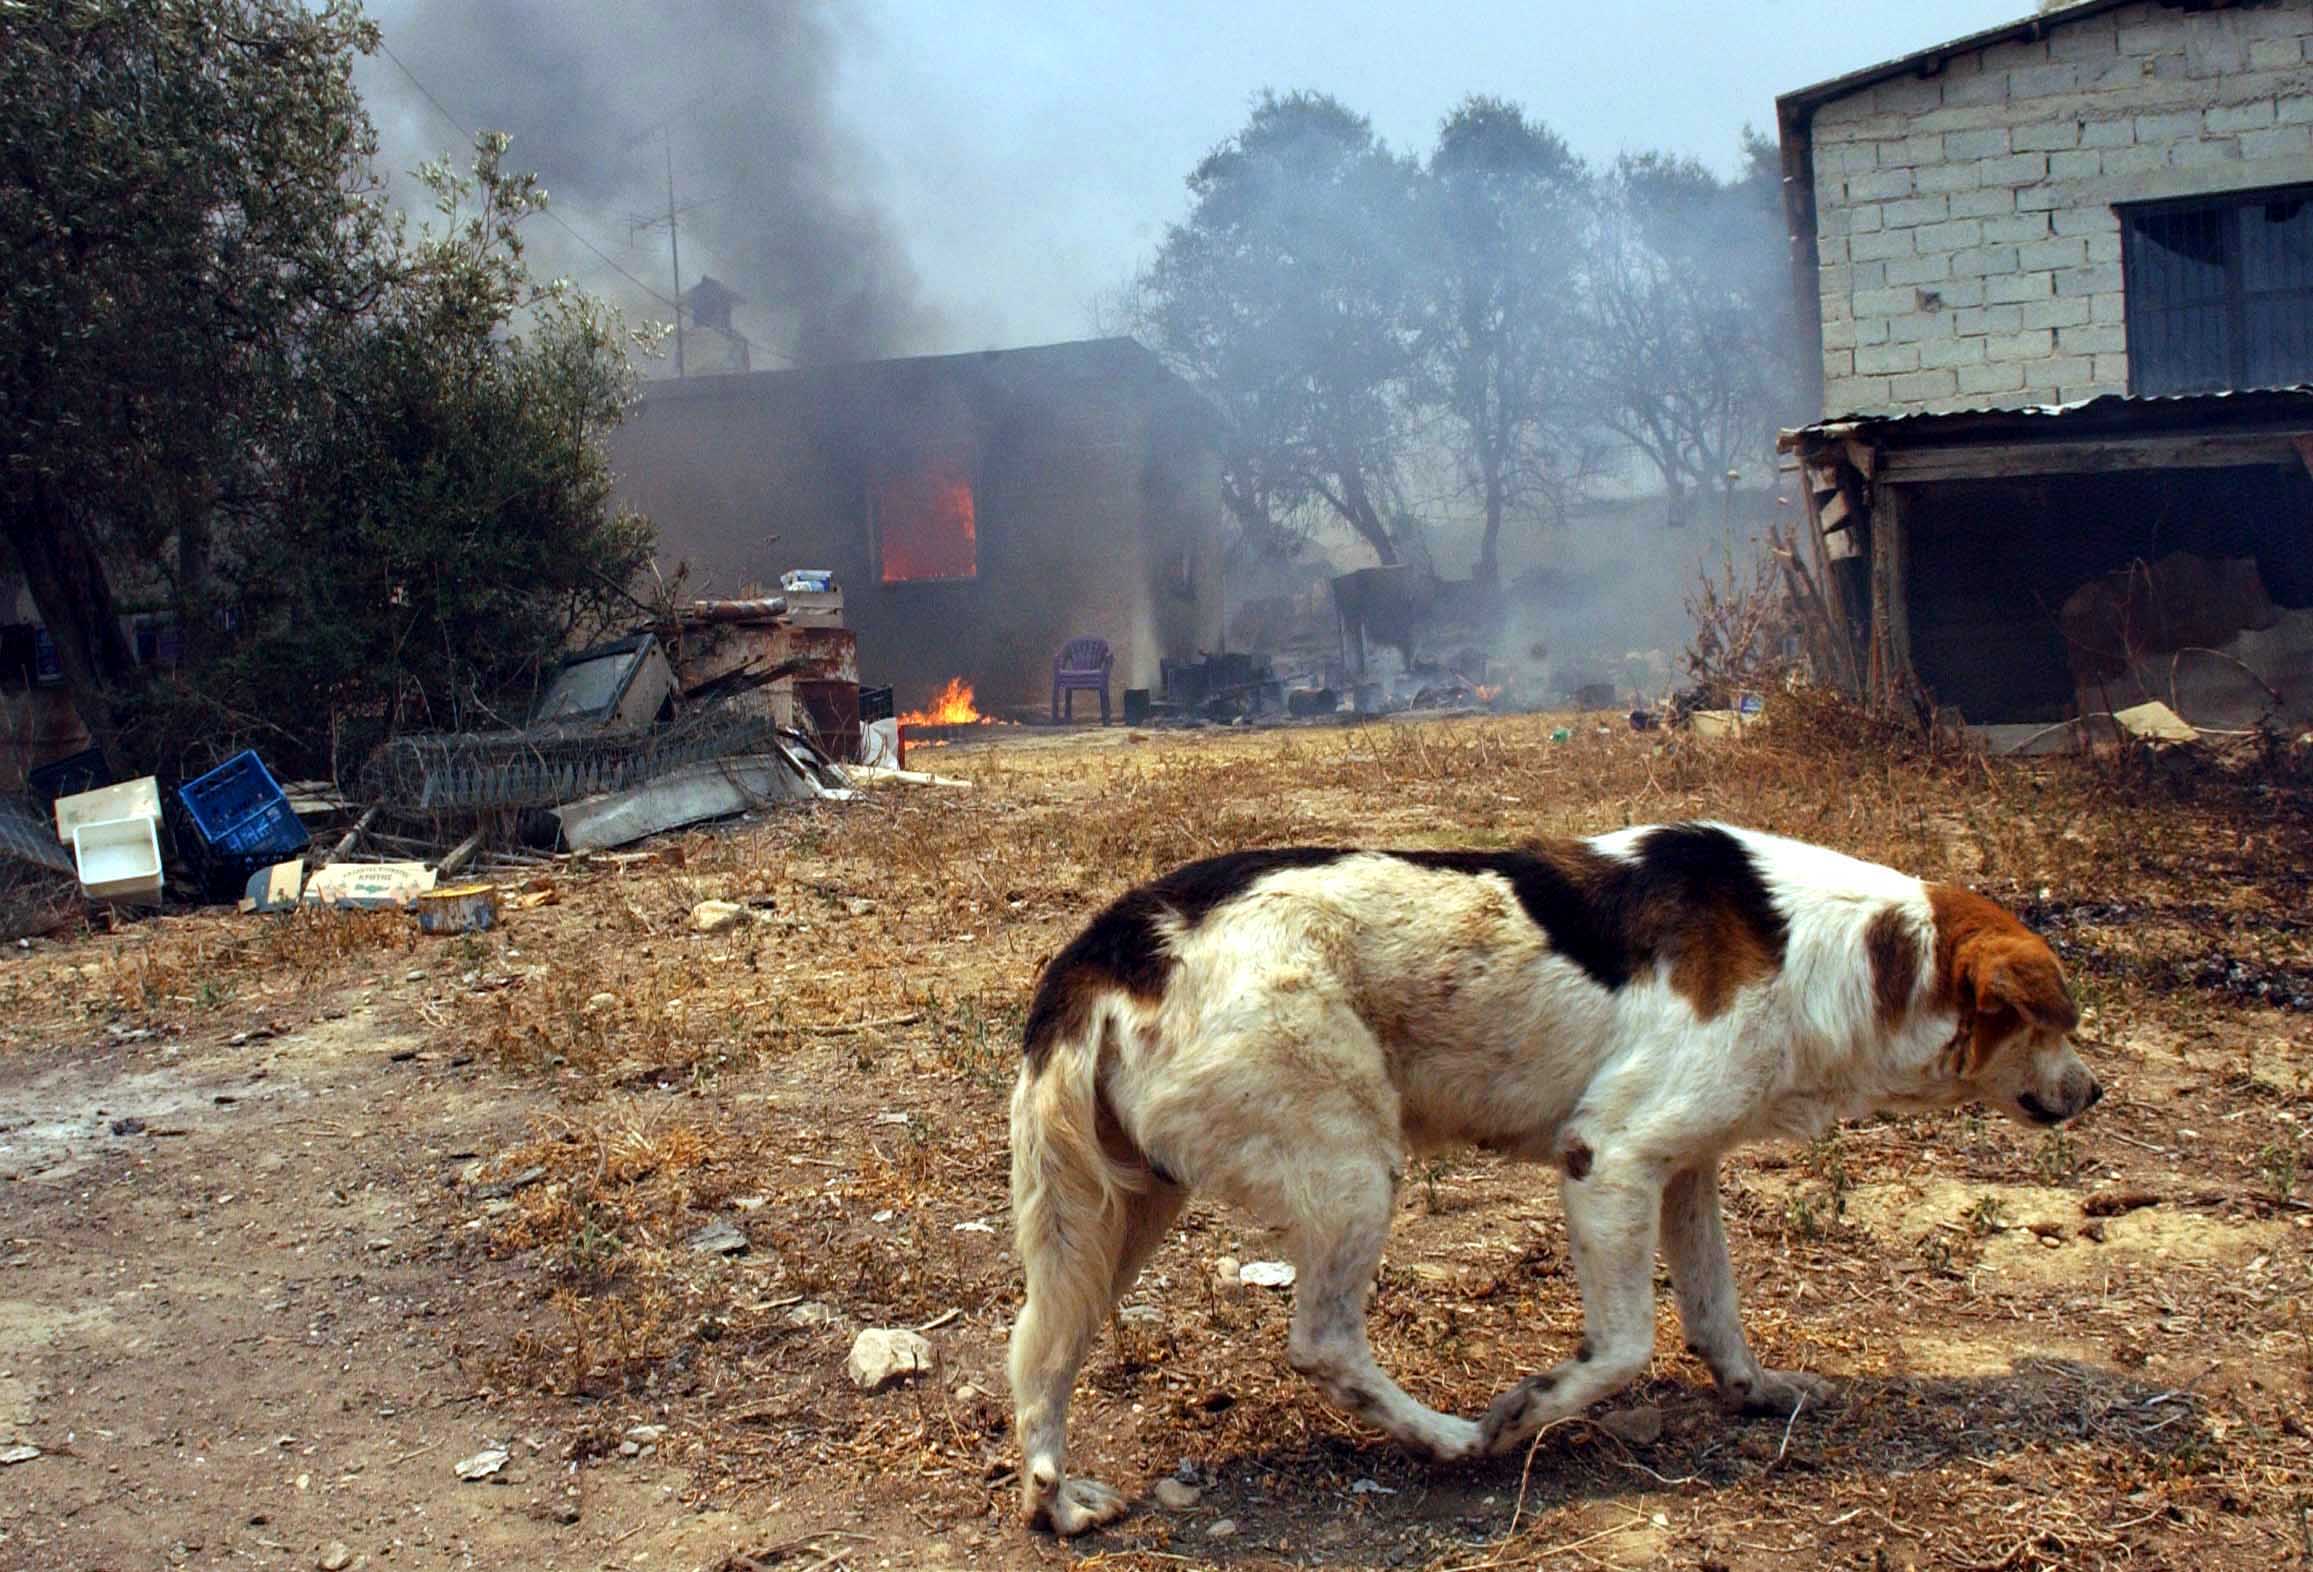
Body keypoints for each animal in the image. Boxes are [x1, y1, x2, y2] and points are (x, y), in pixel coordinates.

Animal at [1003, 822, 2109, 1535]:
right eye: (2057, 1023)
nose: (2095, 1090)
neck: (1825, 945)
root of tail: (1109, 945)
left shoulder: (1685, 1169)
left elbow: (1716, 1315)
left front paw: (1754, 1393)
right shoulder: (1608, 1159)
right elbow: (1621, 1347)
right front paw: (1531, 1409)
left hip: (1115, 1218)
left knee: (1042, 1355)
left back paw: (1057, 1499)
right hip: (1352, 1172)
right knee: (1321, 1344)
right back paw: (1450, 1439)